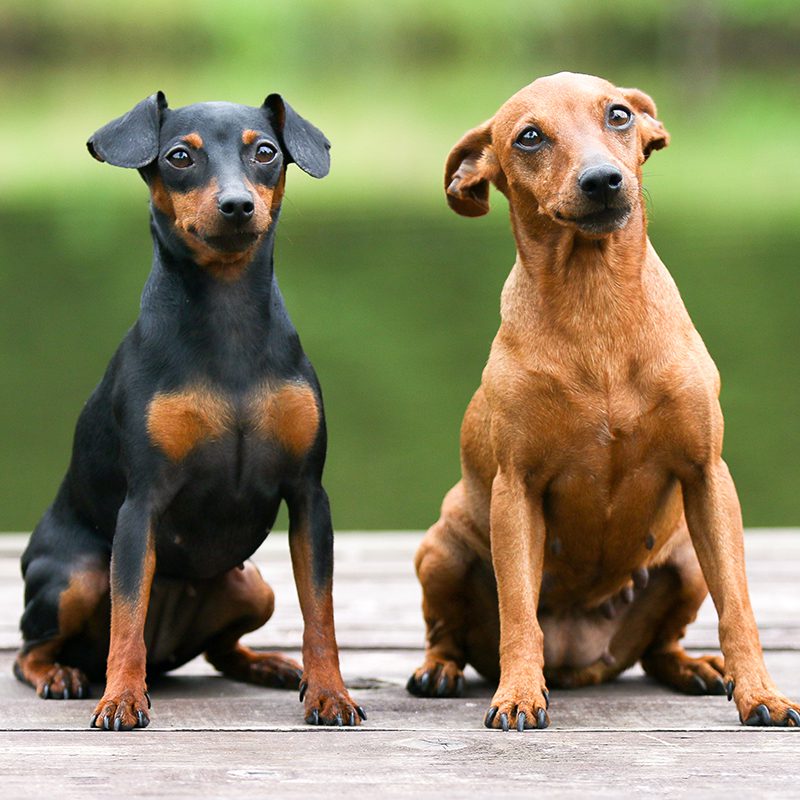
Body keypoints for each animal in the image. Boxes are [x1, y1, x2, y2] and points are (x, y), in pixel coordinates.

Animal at [15, 92, 366, 732]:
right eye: (179, 156)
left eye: (266, 152)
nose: (237, 205)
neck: (228, 321)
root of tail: (167, 652)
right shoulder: (141, 505)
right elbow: (127, 616)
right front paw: (121, 698)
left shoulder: (309, 497)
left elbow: (320, 611)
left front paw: (330, 692)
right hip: (76, 577)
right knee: (35, 648)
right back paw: (62, 675)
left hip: (252, 584)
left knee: (222, 649)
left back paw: (269, 665)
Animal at [406, 73, 800, 732]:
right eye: (529, 136)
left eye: (619, 115)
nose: (603, 180)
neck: (597, 303)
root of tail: (580, 661)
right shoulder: (517, 491)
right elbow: (519, 612)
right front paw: (518, 694)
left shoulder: (707, 476)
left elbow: (739, 608)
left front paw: (760, 693)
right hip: (441, 552)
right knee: (448, 634)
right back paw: (440, 671)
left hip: (685, 560)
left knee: (662, 646)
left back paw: (696, 667)